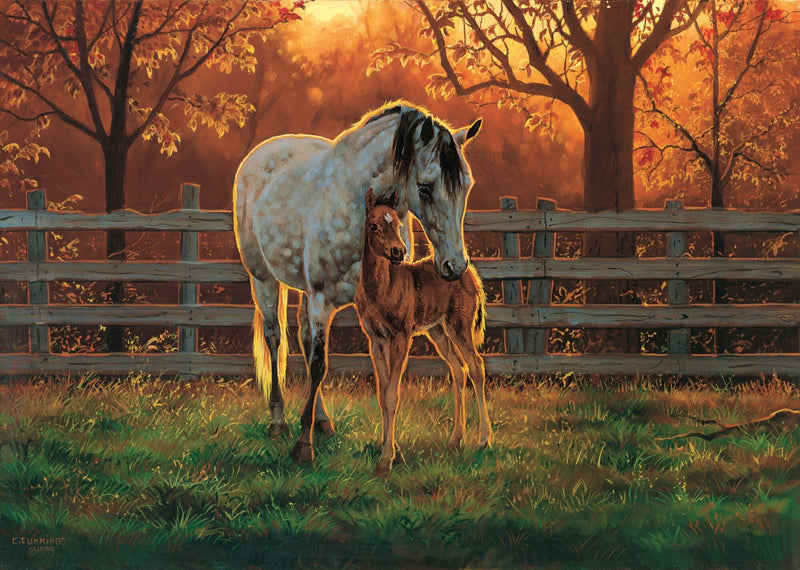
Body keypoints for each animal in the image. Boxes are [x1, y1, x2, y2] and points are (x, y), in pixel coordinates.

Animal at [233, 101, 482, 463]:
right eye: (425, 187)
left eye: (466, 184)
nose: (454, 266)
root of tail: (262, 153)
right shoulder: (322, 299)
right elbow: (319, 365)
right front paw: (303, 446)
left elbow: (384, 377)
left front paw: (388, 449)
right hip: (264, 280)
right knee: (275, 339)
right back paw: (279, 422)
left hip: (304, 294)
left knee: (304, 340)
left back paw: (322, 421)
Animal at [355, 188, 492, 474]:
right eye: (374, 227)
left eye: (398, 224)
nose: (398, 251)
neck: (381, 289)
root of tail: (468, 272)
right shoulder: (376, 340)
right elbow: (382, 393)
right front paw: (387, 448)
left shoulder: (401, 336)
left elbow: (392, 394)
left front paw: (386, 459)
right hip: (438, 330)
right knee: (458, 369)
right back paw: (456, 439)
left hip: (459, 325)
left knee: (476, 366)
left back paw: (484, 439)